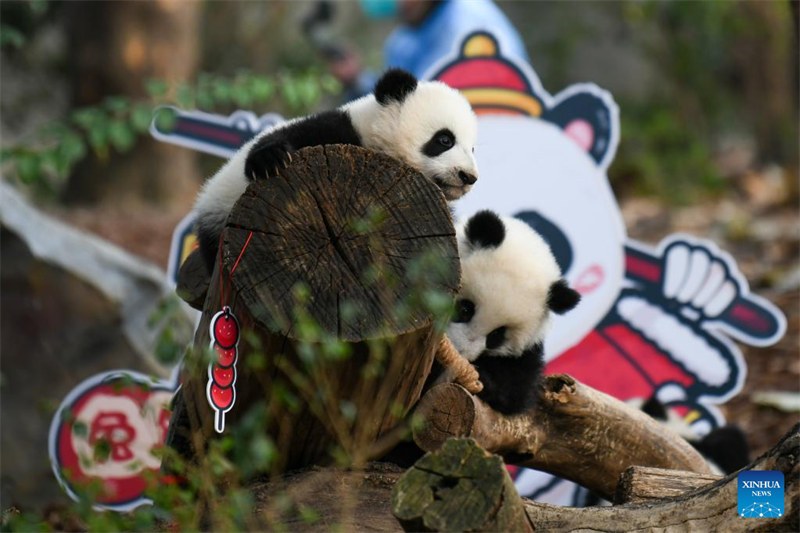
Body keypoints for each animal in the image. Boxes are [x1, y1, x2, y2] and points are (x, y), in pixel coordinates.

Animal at [192, 68, 479, 270]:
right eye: (445, 139)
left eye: (473, 148)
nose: (469, 177)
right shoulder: (335, 130)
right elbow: (289, 136)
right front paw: (269, 161)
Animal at [446, 210, 581, 414]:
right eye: (465, 308)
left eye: (497, 334)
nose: (460, 352)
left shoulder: (528, 350)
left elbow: (515, 390)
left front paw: (483, 376)